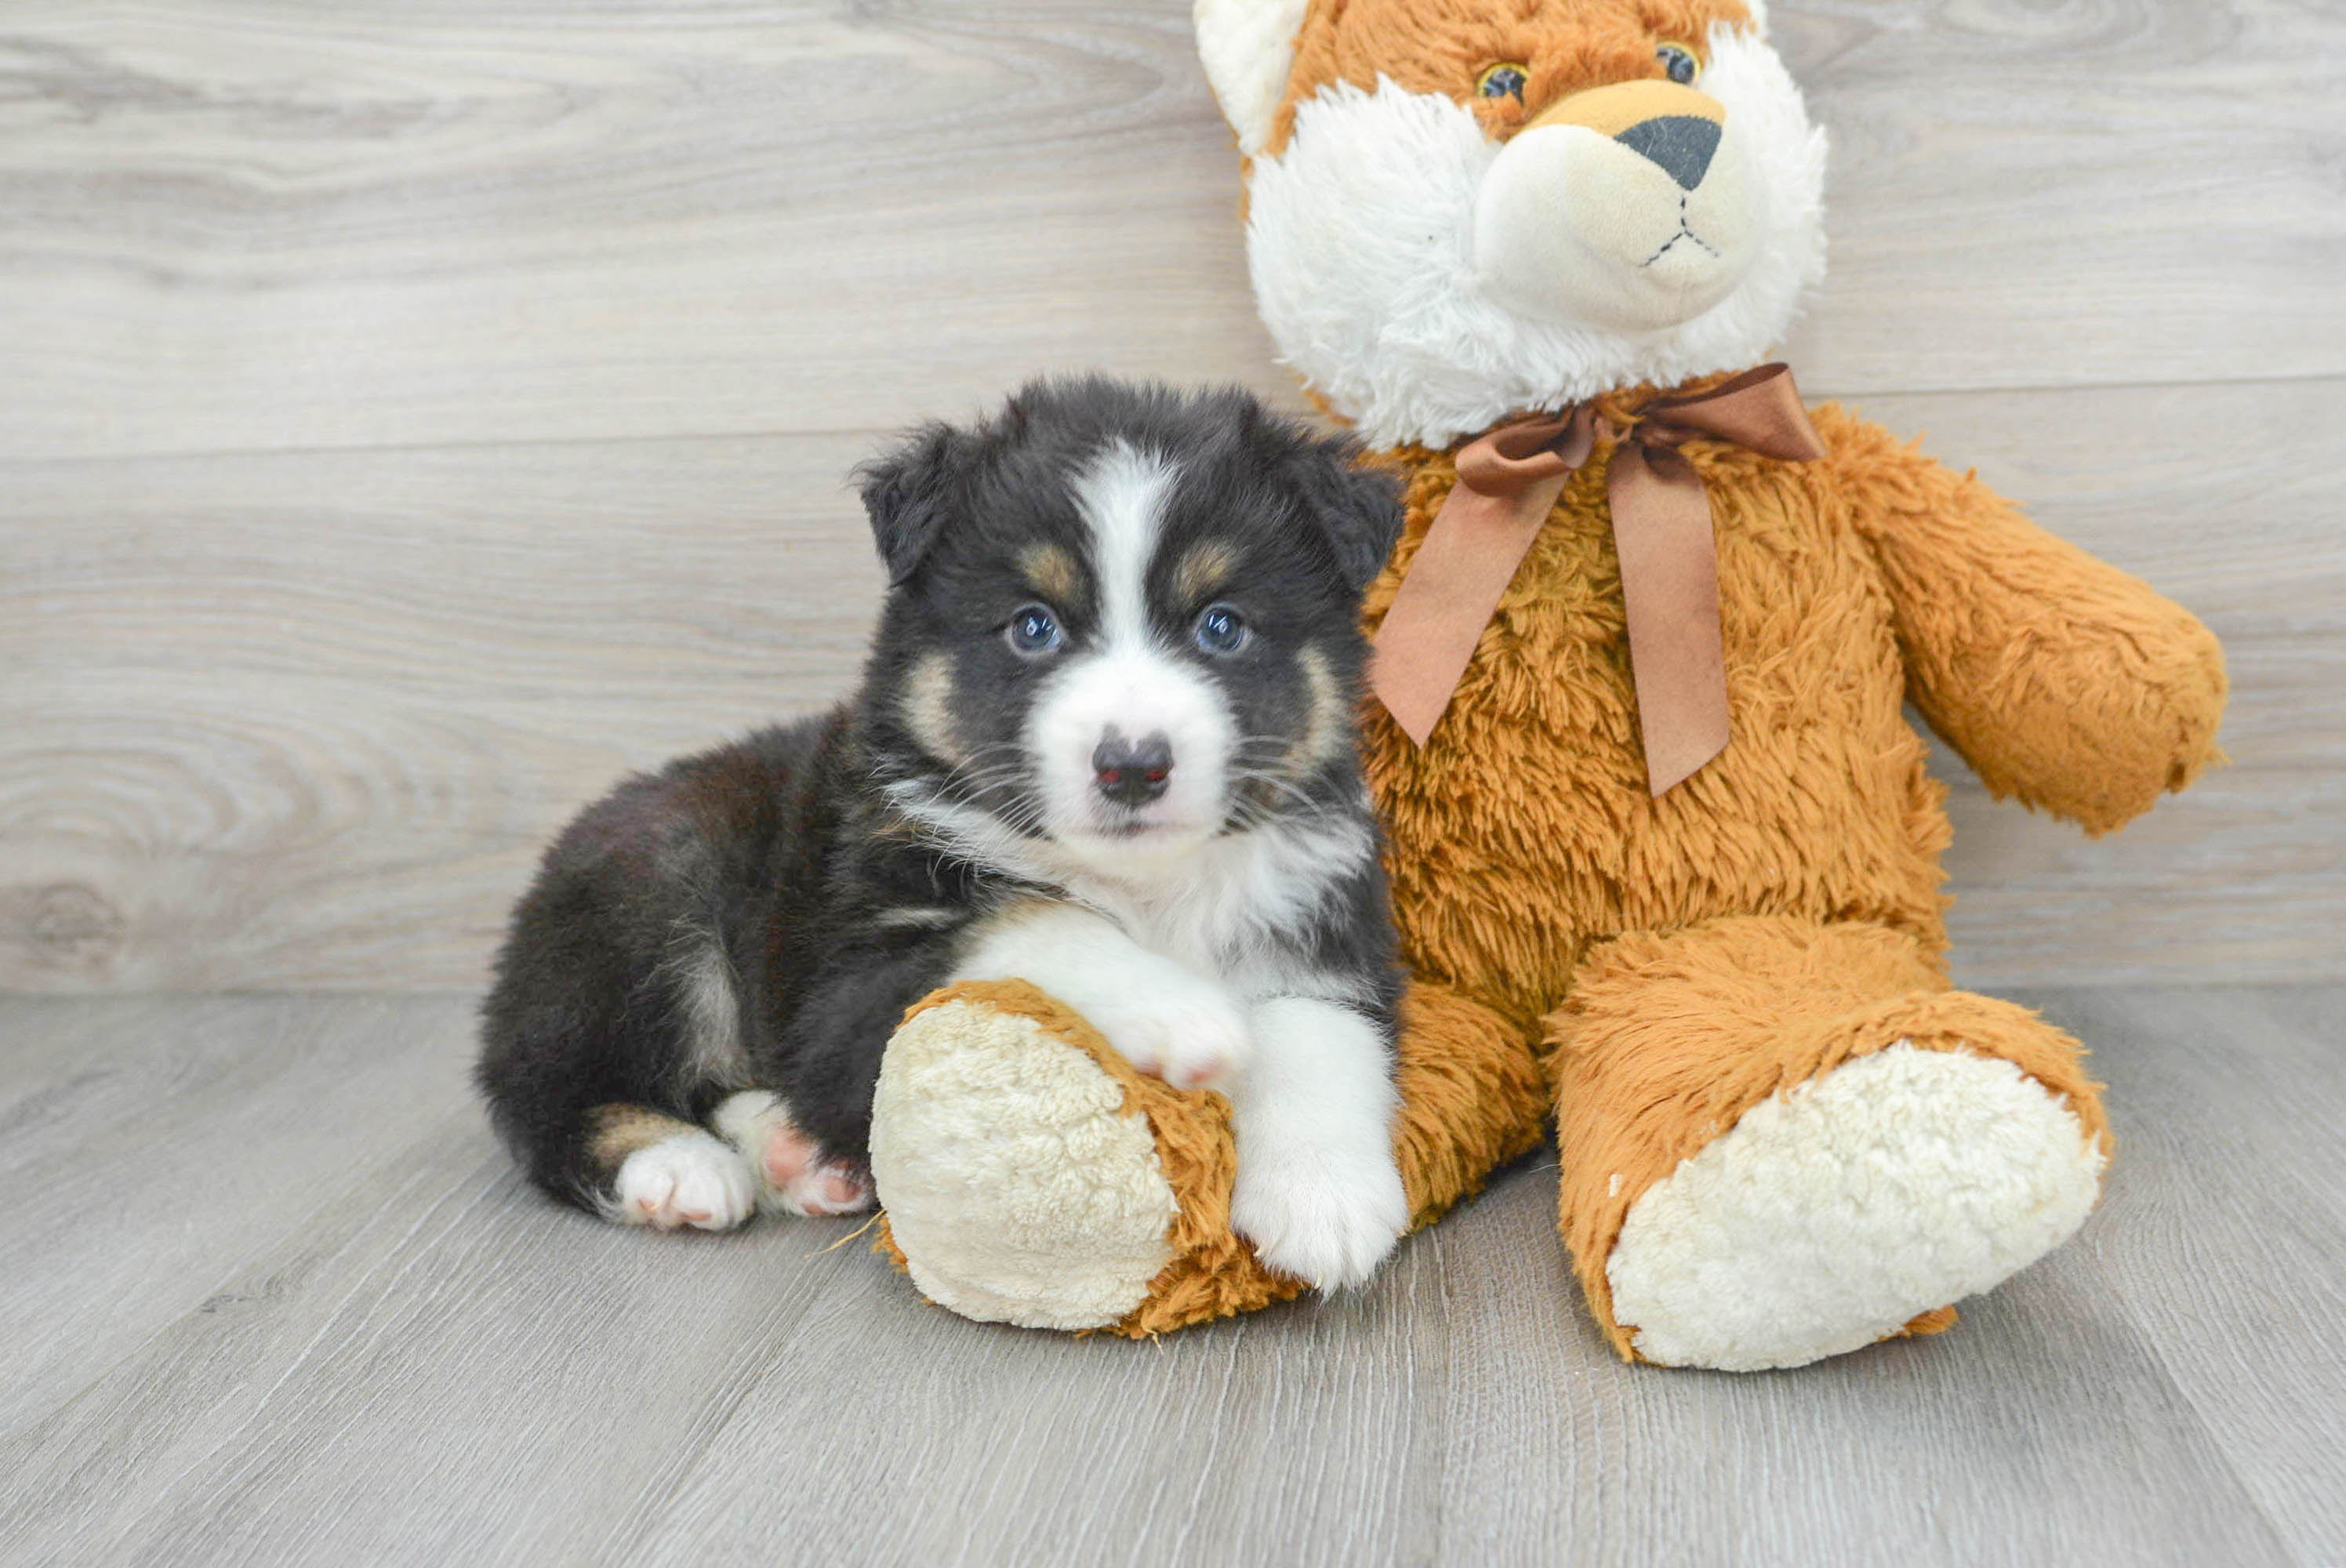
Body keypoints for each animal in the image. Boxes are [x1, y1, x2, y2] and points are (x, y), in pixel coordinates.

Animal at [467, 376, 1398, 1286]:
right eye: (1032, 626)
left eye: (1222, 625)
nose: (1132, 765)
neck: (1144, 883)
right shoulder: (851, 988)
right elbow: (1033, 917)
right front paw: (1182, 1013)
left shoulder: (1328, 911)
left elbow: (1321, 1028)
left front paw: (1326, 1198)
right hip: (656, 888)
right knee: (543, 1090)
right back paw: (676, 1166)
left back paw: (793, 1154)